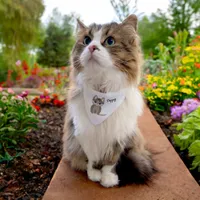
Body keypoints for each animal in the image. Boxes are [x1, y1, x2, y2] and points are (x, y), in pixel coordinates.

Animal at [61, 14, 155, 188]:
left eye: (110, 41)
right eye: (86, 40)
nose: (92, 47)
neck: (102, 89)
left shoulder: (118, 135)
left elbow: (110, 161)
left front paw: (108, 178)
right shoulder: (84, 132)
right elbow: (91, 159)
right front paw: (93, 174)